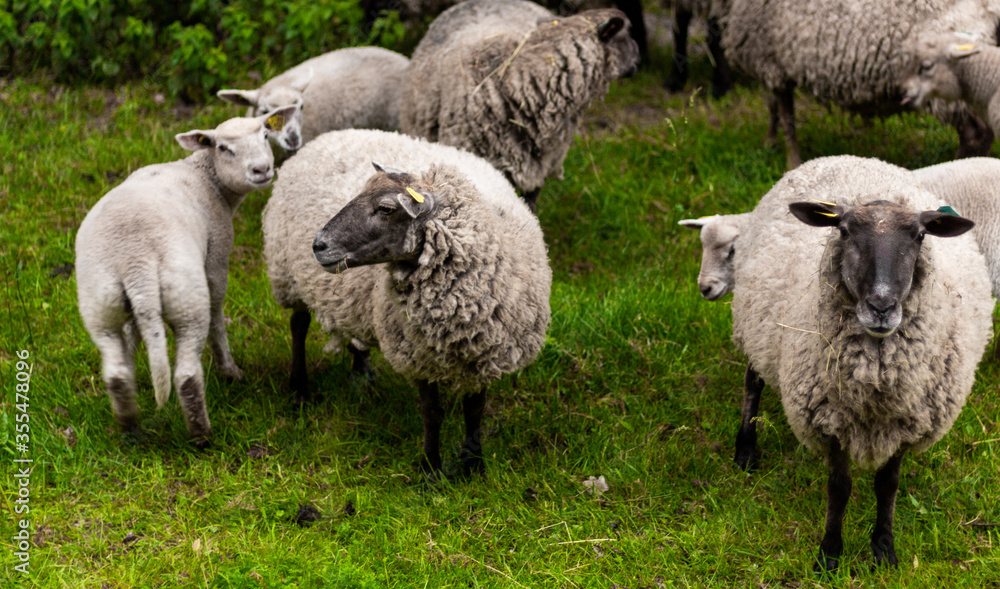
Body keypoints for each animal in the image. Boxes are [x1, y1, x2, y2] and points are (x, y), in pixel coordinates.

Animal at [75, 106, 296, 443]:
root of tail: (136, 261)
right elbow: (218, 313)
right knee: (187, 374)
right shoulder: (217, 256)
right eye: (224, 148)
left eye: (265, 135)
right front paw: (229, 370)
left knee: (115, 371)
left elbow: (133, 332)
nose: (262, 169)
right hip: (187, 296)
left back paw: (129, 426)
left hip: (100, 302)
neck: (206, 176)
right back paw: (201, 434)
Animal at [262, 128, 552, 476]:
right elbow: (432, 412)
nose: (318, 245)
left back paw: (361, 372)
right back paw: (300, 390)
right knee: (299, 325)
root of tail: (327, 137)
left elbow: (475, 409)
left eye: (386, 209)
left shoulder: (486, 350)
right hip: (289, 275)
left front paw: (472, 463)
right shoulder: (417, 354)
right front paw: (431, 468)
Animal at [722, 0, 1000, 170]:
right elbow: (773, 106)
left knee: (976, 135)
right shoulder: (773, 65)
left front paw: (792, 163)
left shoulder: (771, 60)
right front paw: (769, 142)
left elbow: (787, 117)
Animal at [729, 155, 993, 571]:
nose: (881, 306)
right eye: (844, 231)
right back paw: (745, 450)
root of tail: (845, 157)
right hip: (755, 323)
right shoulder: (829, 419)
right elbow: (839, 487)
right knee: (751, 382)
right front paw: (829, 553)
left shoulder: (908, 418)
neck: (876, 377)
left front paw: (883, 549)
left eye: (920, 236)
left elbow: (888, 486)